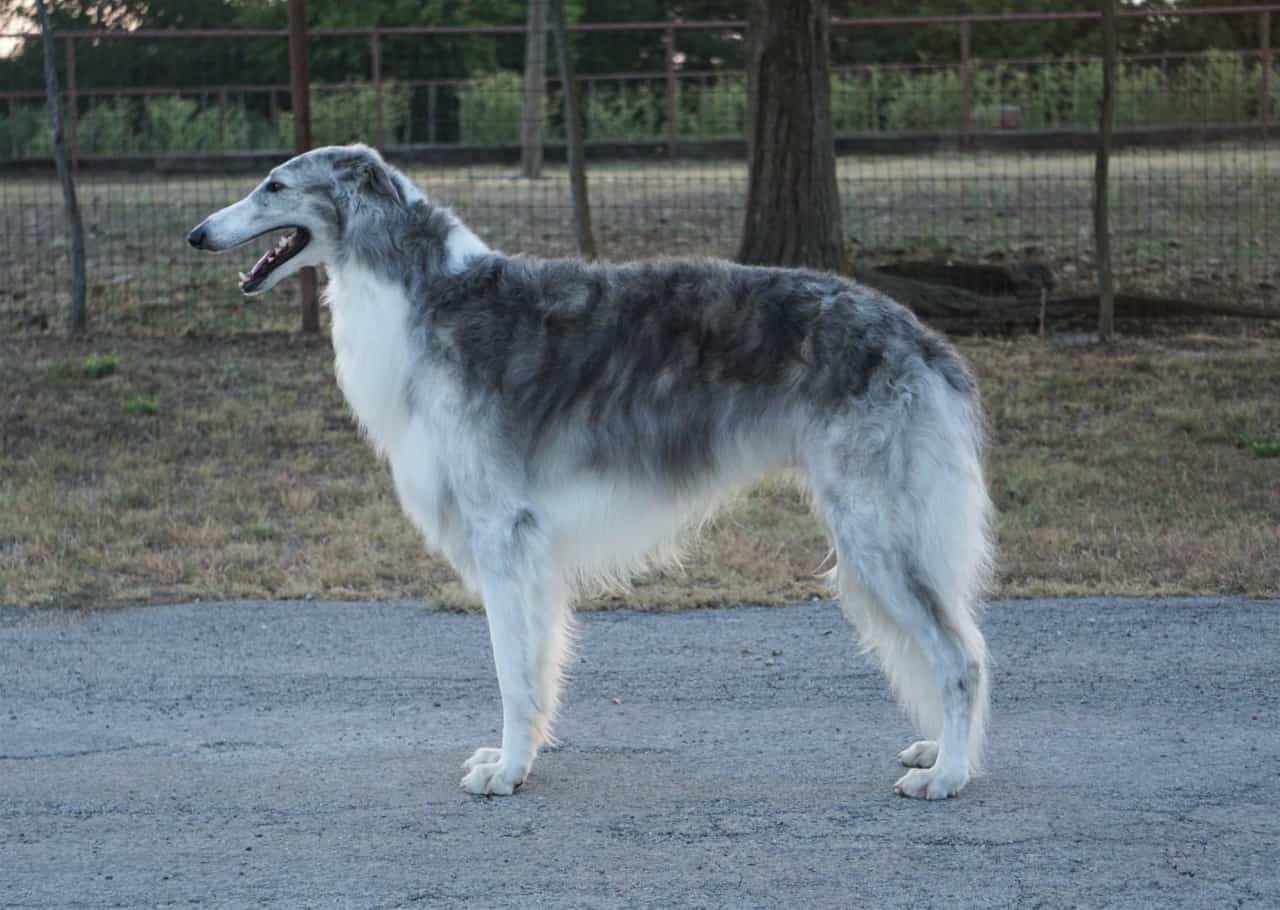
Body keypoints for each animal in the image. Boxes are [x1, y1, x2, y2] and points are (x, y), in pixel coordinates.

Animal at [186, 142, 988, 798]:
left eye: (274, 185)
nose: (196, 234)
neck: (426, 294)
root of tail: (917, 335)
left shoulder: (501, 529)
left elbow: (512, 671)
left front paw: (506, 772)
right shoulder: (528, 545)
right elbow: (535, 666)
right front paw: (517, 759)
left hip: (874, 532)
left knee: (962, 656)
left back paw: (949, 773)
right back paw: (940, 752)